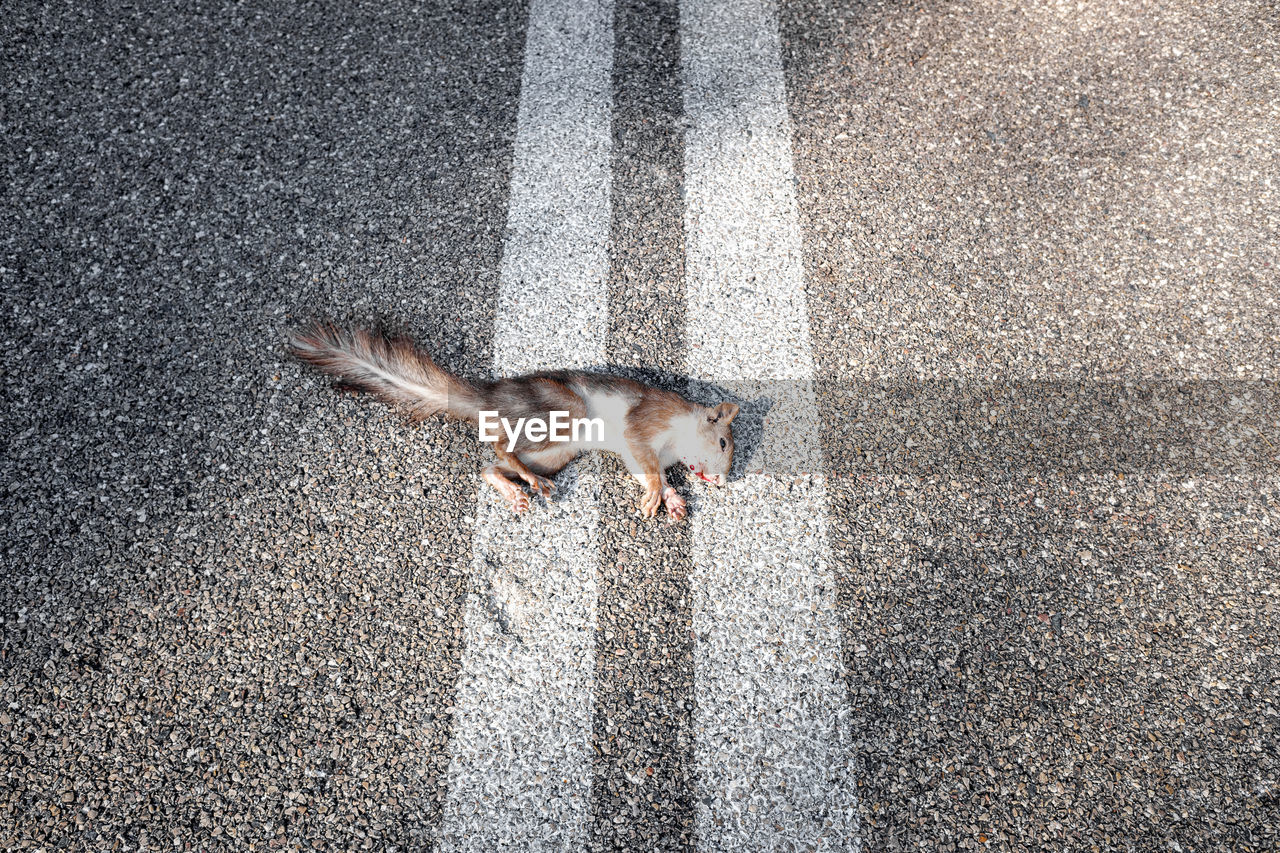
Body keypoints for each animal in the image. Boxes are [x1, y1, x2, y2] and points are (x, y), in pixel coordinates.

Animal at [285, 322, 737, 517]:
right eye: (723, 442)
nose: (720, 480)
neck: (678, 435)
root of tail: (489, 399)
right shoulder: (645, 424)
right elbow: (648, 467)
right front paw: (658, 495)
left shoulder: (642, 455)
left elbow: (649, 473)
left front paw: (673, 498)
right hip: (562, 412)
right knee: (502, 446)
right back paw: (526, 479)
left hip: (558, 451)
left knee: (491, 465)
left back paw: (514, 486)